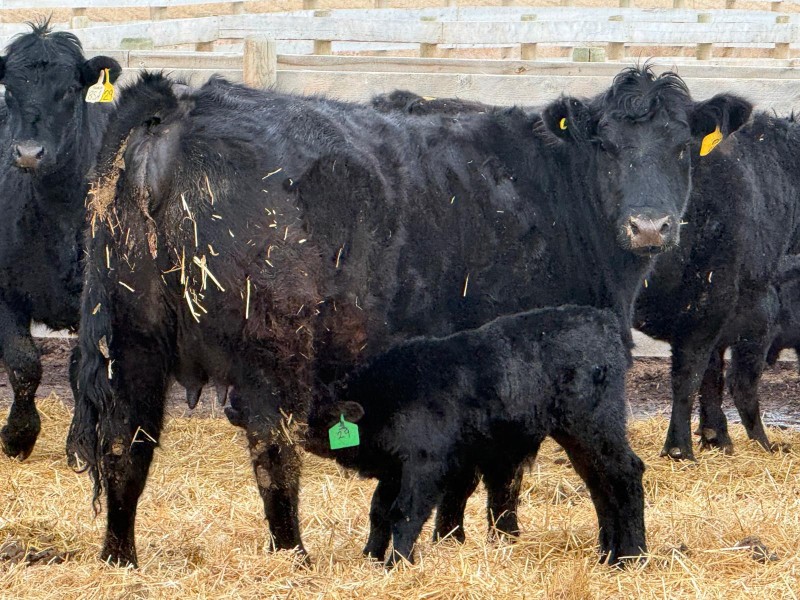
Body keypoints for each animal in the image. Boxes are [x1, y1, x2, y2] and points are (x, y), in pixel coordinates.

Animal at [0, 22, 121, 460]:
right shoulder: (4, 292)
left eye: (69, 89)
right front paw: (18, 435)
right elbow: (23, 364)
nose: (28, 152)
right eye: (9, 87)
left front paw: (82, 442)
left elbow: (81, 367)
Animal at [304, 305, 643, 567]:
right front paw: (371, 557)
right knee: (599, 485)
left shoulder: (424, 464)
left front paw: (397, 563)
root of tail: (602, 319)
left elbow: (405, 512)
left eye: (325, 416)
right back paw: (607, 553)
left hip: (595, 427)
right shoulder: (395, 469)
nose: (303, 435)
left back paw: (633, 555)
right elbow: (379, 512)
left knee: (625, 474)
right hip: (578, 439)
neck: (390, 395)